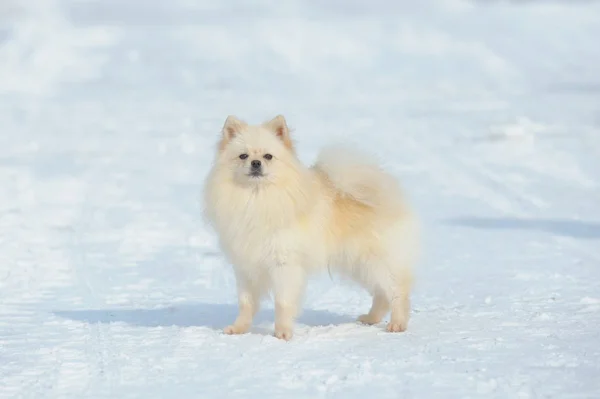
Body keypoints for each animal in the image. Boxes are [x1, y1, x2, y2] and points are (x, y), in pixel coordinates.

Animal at [202, 115, 418, 340]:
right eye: (243, 155)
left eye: (268, 156)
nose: (255, 163)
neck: (256, 198)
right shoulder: (246, 267)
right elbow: (246, 303)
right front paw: (238, 329)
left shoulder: (284, 264)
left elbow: (283, 302)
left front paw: (283, 332)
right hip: (359, 265)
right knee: (381, 294)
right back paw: (370, 318)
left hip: (377, 262)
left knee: (397, 291)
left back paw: (397, 324)